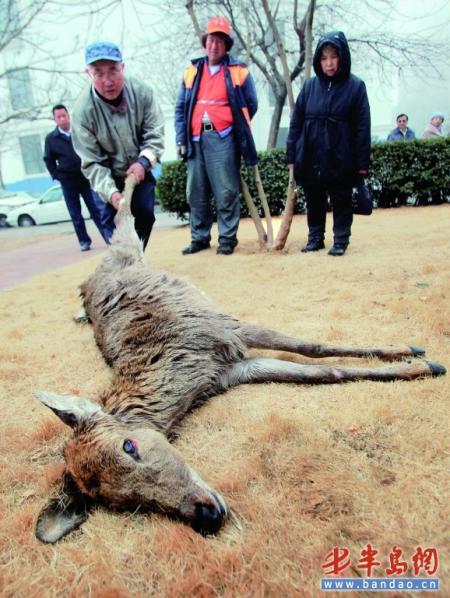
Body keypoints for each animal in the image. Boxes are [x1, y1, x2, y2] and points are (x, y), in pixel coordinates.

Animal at [32, 177, 446, 544]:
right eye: (124, 502)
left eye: (129, 446)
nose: (206, 514)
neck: (190, 372)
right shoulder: (234, 370)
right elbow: (325, 371)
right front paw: (419, 364)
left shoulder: (227, 329)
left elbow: (312, 346)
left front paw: (417, 355)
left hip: (126, 246)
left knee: (123, 215)